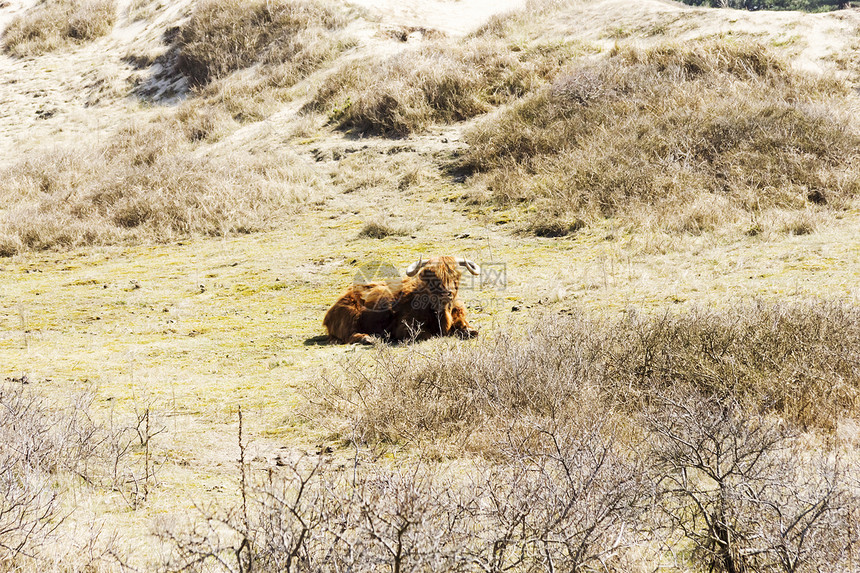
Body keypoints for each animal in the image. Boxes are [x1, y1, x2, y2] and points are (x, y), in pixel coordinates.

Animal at [324, 256, 480, 344]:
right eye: (431, 276)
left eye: (456, 275)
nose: (446, 294)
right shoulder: (404, 327)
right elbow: (427, 335)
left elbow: (471, 330)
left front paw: (469, 331)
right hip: (350, 316)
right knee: (348, 335)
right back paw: (368, 338)